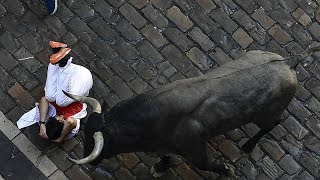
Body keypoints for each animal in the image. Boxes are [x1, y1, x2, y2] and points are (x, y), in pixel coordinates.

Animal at [64, 48, 318, 176]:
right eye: (85, 133)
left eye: (93, 141)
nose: (90, 161)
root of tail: (288, 62)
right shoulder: (161, 145)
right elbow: (164, 157)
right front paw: (161, 167)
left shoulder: (196, 149)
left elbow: (206, 165)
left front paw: (226, 170)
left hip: (267, 114)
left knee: (273, 124)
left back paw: (248, 146)